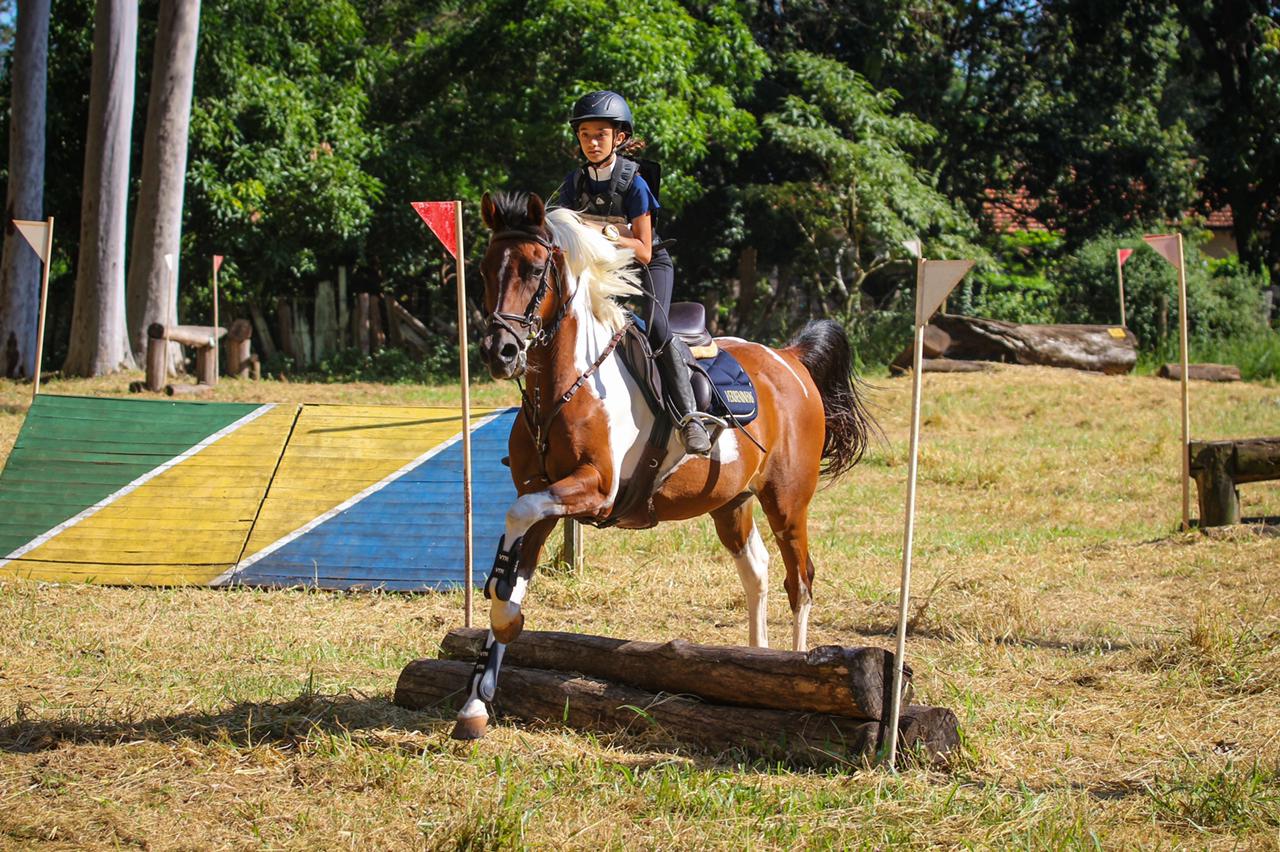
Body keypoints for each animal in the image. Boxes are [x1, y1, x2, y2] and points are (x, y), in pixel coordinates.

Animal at [455, 190, 885, 736]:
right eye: (485, 270)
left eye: (534, 270)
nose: (501, 351)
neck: (565, 385)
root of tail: (790, 358)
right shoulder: (542, 491)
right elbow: (509, 585)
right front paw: (475, 702)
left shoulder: (595, 489)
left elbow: (518, 522)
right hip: (731, 502)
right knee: (757, 571)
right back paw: (759, 663)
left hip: (787, 502)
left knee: (800, 579)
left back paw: (797, 668)